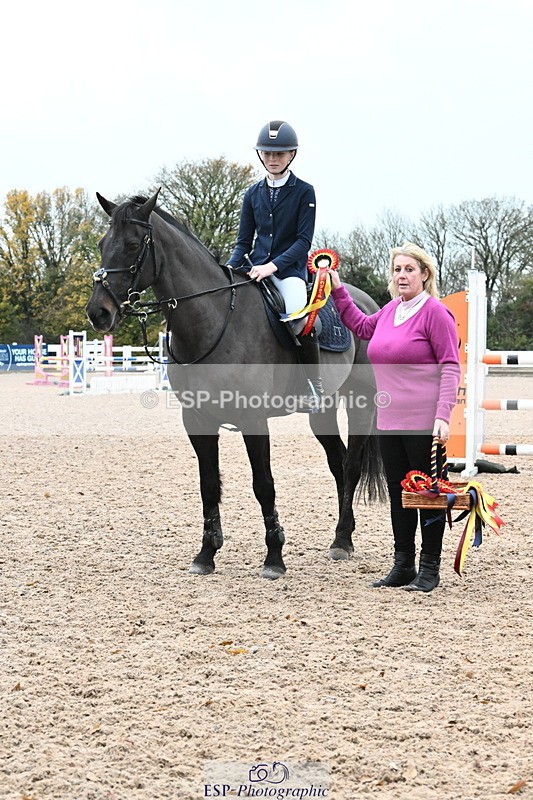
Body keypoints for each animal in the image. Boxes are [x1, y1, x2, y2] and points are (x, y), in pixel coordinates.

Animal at [86, 191, 384, 579]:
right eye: (103, 243)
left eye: (134, 245)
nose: (98, 313)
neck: (212, 319)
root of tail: (368, 302)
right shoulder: (197, 420)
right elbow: (209, 484)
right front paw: (206, 554)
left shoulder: (253, 421)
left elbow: (264, 485)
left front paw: (274, 558)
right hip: (323, 410)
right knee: (338, 462)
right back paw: (339, 537)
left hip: (360, 401)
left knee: (351, 466)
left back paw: (344, 542)